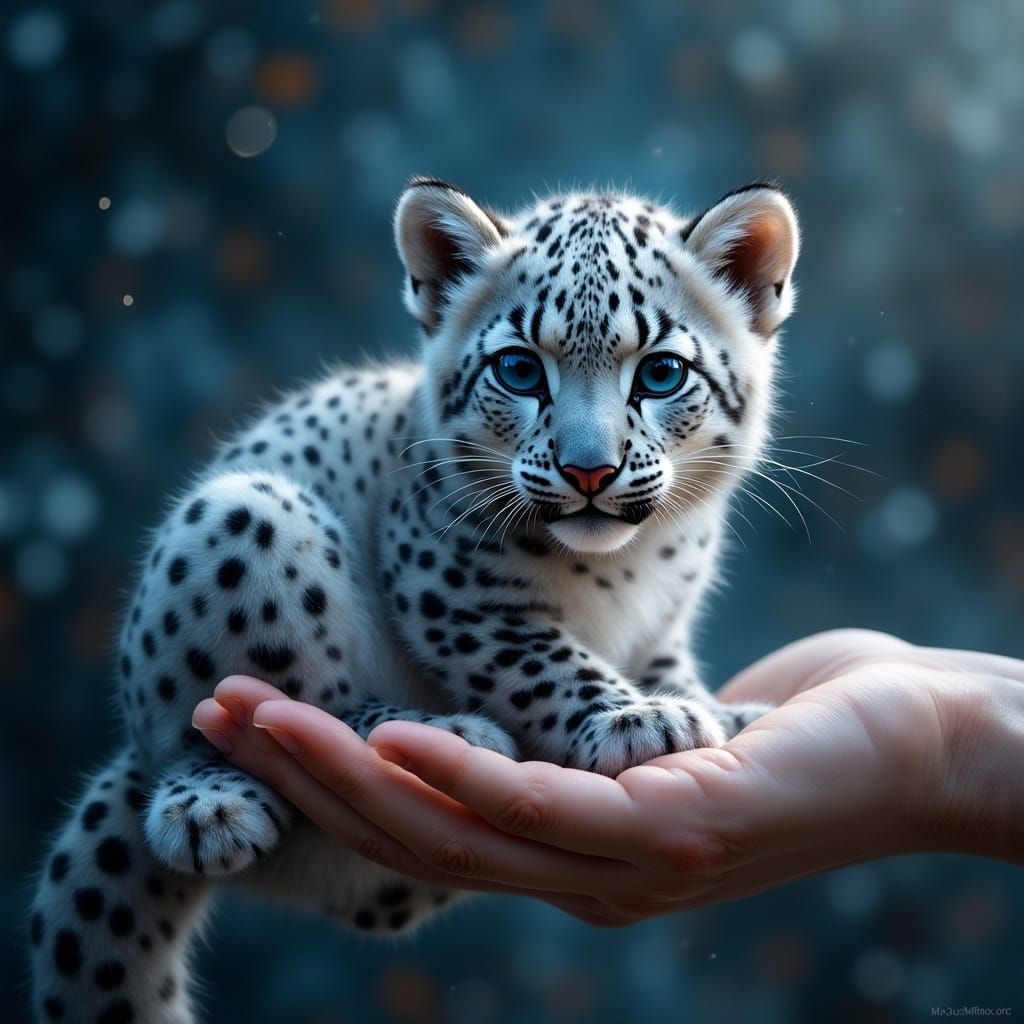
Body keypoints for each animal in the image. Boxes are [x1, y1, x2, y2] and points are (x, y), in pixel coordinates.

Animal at [28, 176, 800, 1023]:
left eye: (661, 373)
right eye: (519, 370)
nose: (589, 471)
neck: (628, 571)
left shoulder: (662, 626)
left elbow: (666, 668)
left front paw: (717, 712)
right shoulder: (455, 594)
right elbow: (548, 664)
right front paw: (640, 722)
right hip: (239, 521)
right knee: (238, 721)